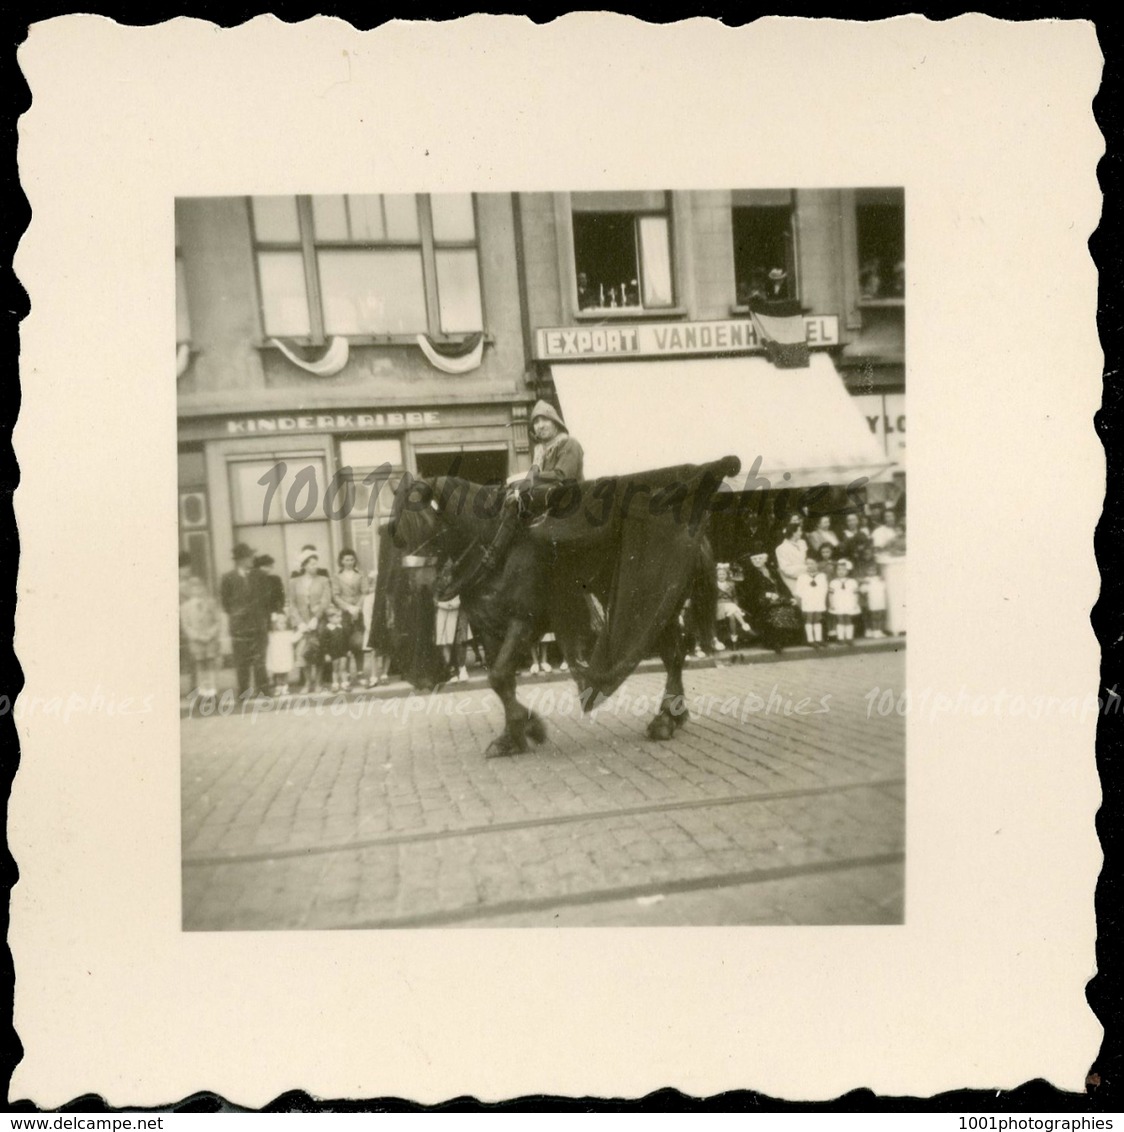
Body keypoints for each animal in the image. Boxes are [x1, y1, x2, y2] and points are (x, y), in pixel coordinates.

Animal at [387, 455, 747, 756]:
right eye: (396, 530)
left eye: (421, 522)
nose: (420, 585)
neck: (495, 543)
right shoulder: (488, 628)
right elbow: (501, 679)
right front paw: (516, 734)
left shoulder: (524, 622)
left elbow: (500, 676)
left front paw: (526, 728)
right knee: (675, 653)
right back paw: (674, 714)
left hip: (657, 606)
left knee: (673, 656)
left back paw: (665, 719)